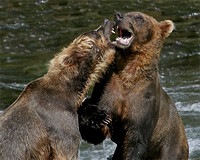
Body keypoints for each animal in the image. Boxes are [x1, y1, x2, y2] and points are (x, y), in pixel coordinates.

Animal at [0, 19, 115, 159]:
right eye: (96, 33)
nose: (106, 21)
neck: (72, 92)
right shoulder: (60, 124)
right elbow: (67, 150)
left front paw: (100, 116)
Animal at [78, 11, 189, 159]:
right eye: (127, 13)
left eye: (139, 17)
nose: (118, 15)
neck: (128, 73)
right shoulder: (108, 89)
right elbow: (94, 133)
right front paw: (96, 116)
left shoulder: (144, 101)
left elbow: (136, 141)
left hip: (170, 145)